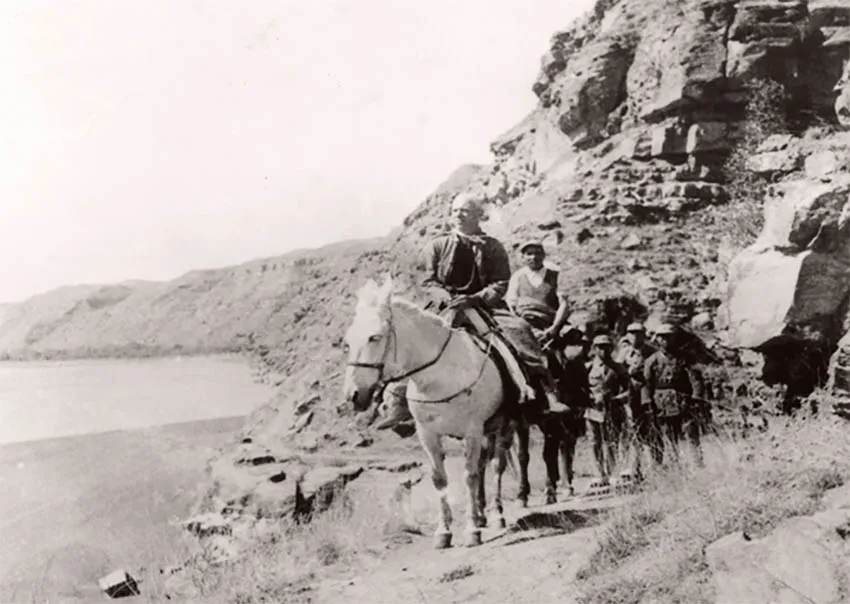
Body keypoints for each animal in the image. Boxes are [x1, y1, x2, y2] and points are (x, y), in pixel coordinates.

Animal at [342, 276, 520, 549]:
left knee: (497, 466)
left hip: (503, 425)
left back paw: (496, 514)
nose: (352, 395)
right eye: (348, 341)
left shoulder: (472, 430)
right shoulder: (427, 434)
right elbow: (440, 479)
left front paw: (471, 531)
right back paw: (481, 514)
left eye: (375, 337)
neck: (439, 376)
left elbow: (469, 476)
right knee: (483, 465)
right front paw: (444, 532)